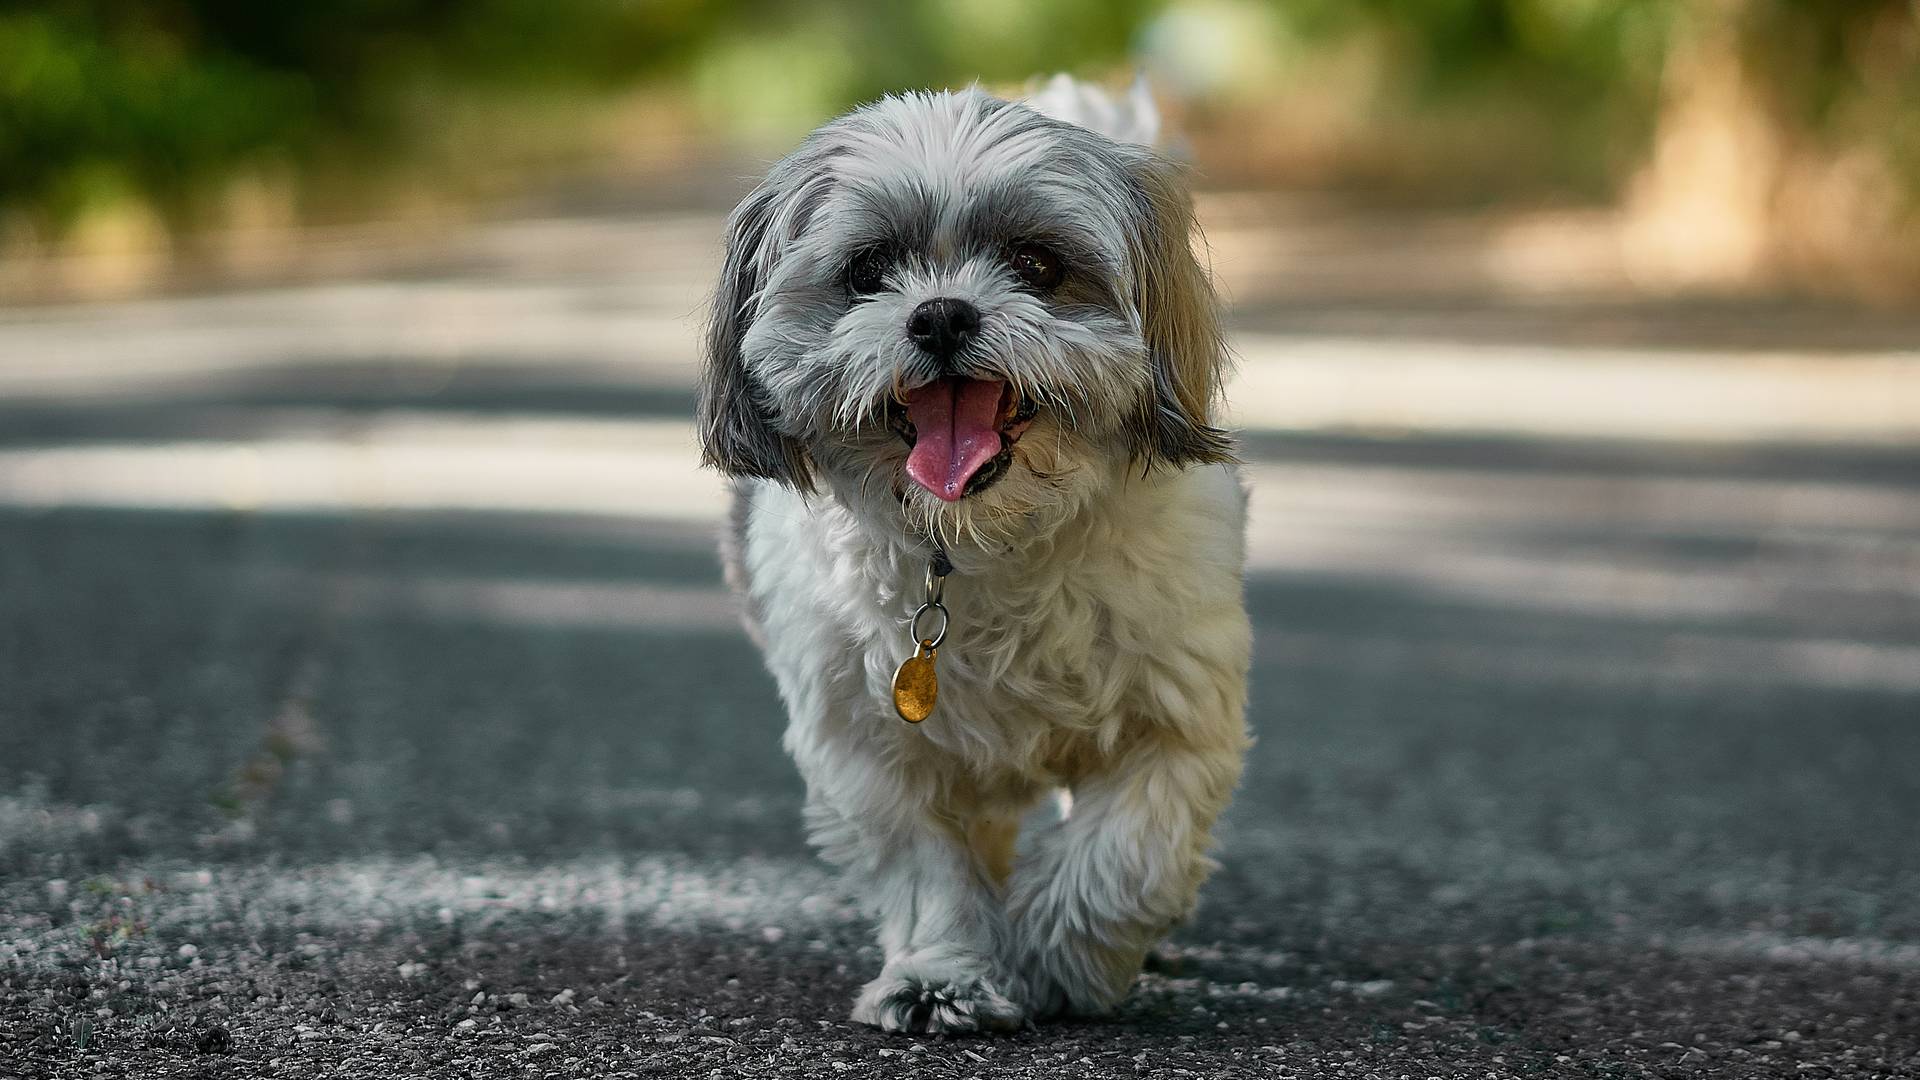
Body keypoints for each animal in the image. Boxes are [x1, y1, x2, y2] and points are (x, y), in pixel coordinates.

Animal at [698, 79, 1251, 1030]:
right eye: (868, 272)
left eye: (1037, 265)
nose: (942, 313)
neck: (983, 545)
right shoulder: (868, 745)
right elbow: (927, 867)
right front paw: (941, 975)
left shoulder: (1175, 716)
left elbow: (1126, 852)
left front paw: (1062, 959)